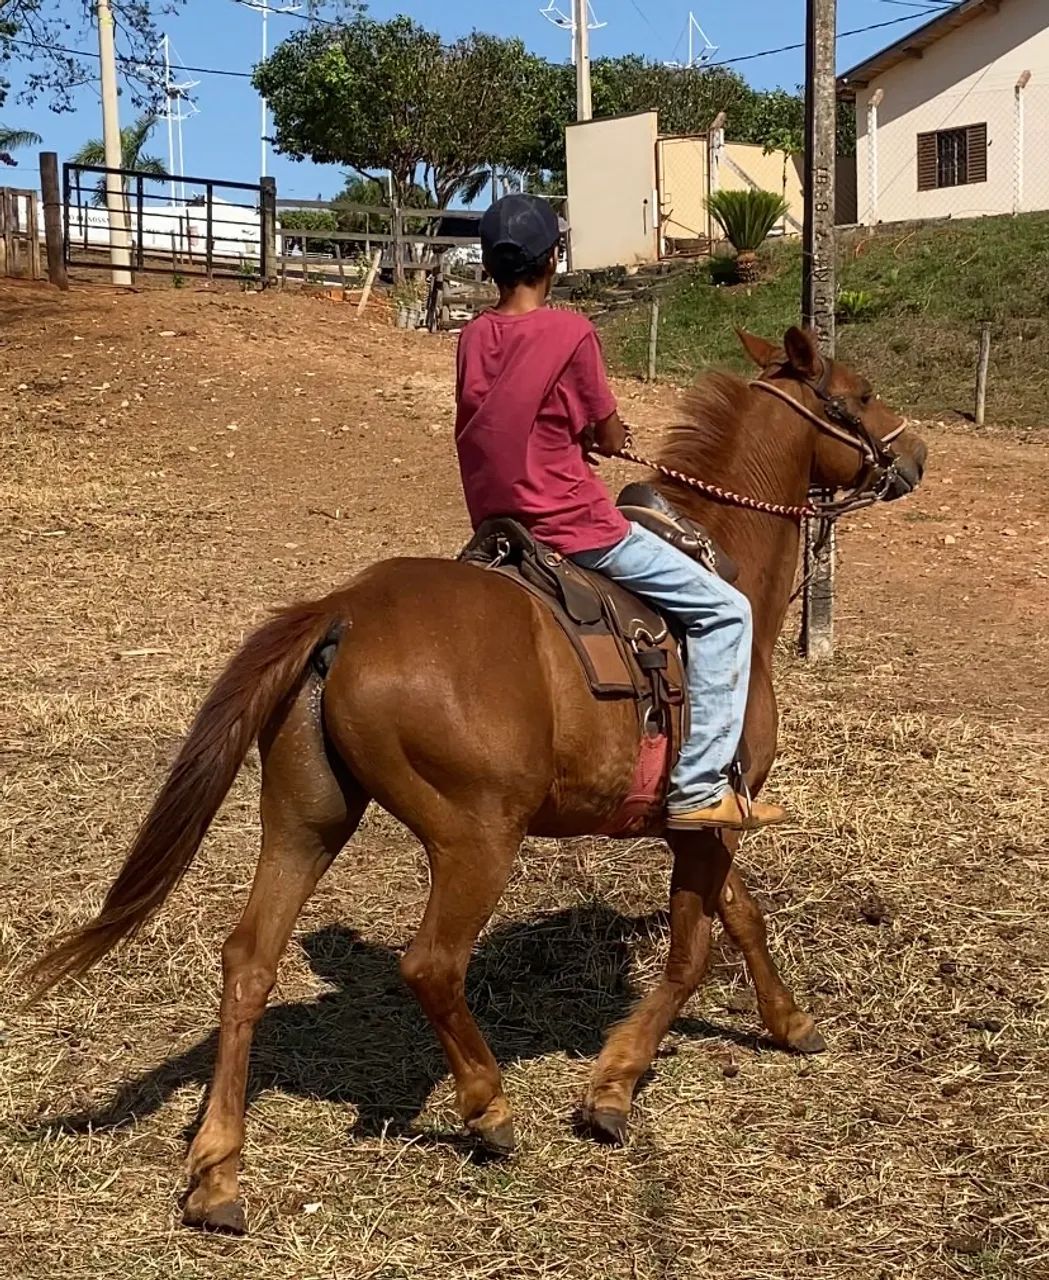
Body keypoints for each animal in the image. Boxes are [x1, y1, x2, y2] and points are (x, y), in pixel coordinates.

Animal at [31, 325, 927, 1235]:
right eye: (858, 393)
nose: (913, 454)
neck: (723, 556)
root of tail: (346, 608)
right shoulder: (705, 816)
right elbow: (692, 951)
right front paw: (612, 1088)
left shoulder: (703, 822)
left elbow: (741, 919)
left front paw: (789, 1021)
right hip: (477, 840)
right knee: (430, 965)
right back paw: (487, 1108)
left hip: (304, 820)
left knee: (249, 961)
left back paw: (218, 1173)